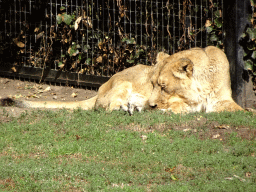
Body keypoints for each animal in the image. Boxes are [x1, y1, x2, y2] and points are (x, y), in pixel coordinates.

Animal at [0, 45, 243, 113]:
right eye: (153, 85)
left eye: (163, 86)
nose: (151, 105)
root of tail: (99, 88)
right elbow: (177, 107)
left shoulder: (222, 101)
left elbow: (241, 110)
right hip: (122, 84)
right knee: (105, 107)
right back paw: (127, 107)